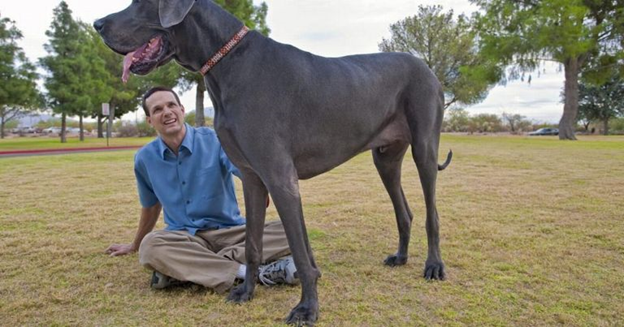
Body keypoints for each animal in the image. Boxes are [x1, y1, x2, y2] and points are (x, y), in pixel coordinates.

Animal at [92, 0, 450, 326]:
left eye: (143, 2)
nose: (97, 24)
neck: (227, 63)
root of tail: (427, 68)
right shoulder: (252, 177)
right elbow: (254, 243)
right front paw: (246, 292)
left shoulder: (280, 177)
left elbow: (299, 251)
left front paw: (307, 309)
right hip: (385, 158)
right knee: (404, 211)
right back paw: (401, 257)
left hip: (424, 149)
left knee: (432, 213)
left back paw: (434, 266)